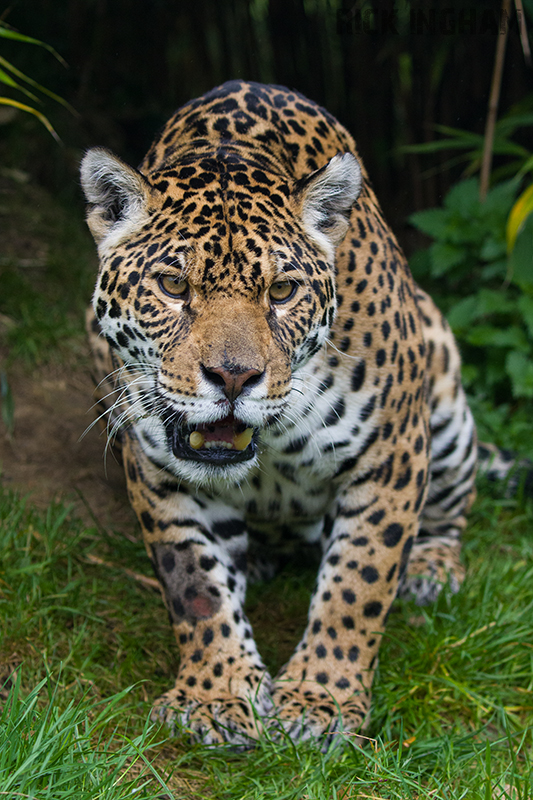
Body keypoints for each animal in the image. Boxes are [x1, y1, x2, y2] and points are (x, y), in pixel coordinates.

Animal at [80, 80, 481, 750]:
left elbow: (358, 584)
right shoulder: (159, 473)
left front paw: (321, 701)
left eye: (283, 292)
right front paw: (214, 696)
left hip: (444, 386)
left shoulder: (391, 456)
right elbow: (195, 587)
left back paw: (433, 568)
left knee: (450, 510)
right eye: (172, 286)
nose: (233, 377)